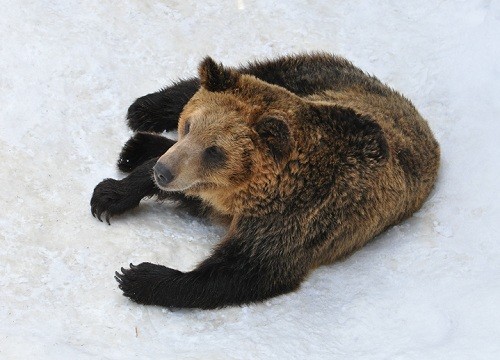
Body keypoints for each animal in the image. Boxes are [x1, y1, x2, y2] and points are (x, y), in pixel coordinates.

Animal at [92, 53, 440, 310]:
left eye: (214, 150)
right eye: (189, 125)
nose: (164, 172)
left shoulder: (292, 223)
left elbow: (240, 273)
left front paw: (137, 276)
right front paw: (111, 194)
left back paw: (137, 144)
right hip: (316, 78)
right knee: (246, 72)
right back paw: (143, 114)